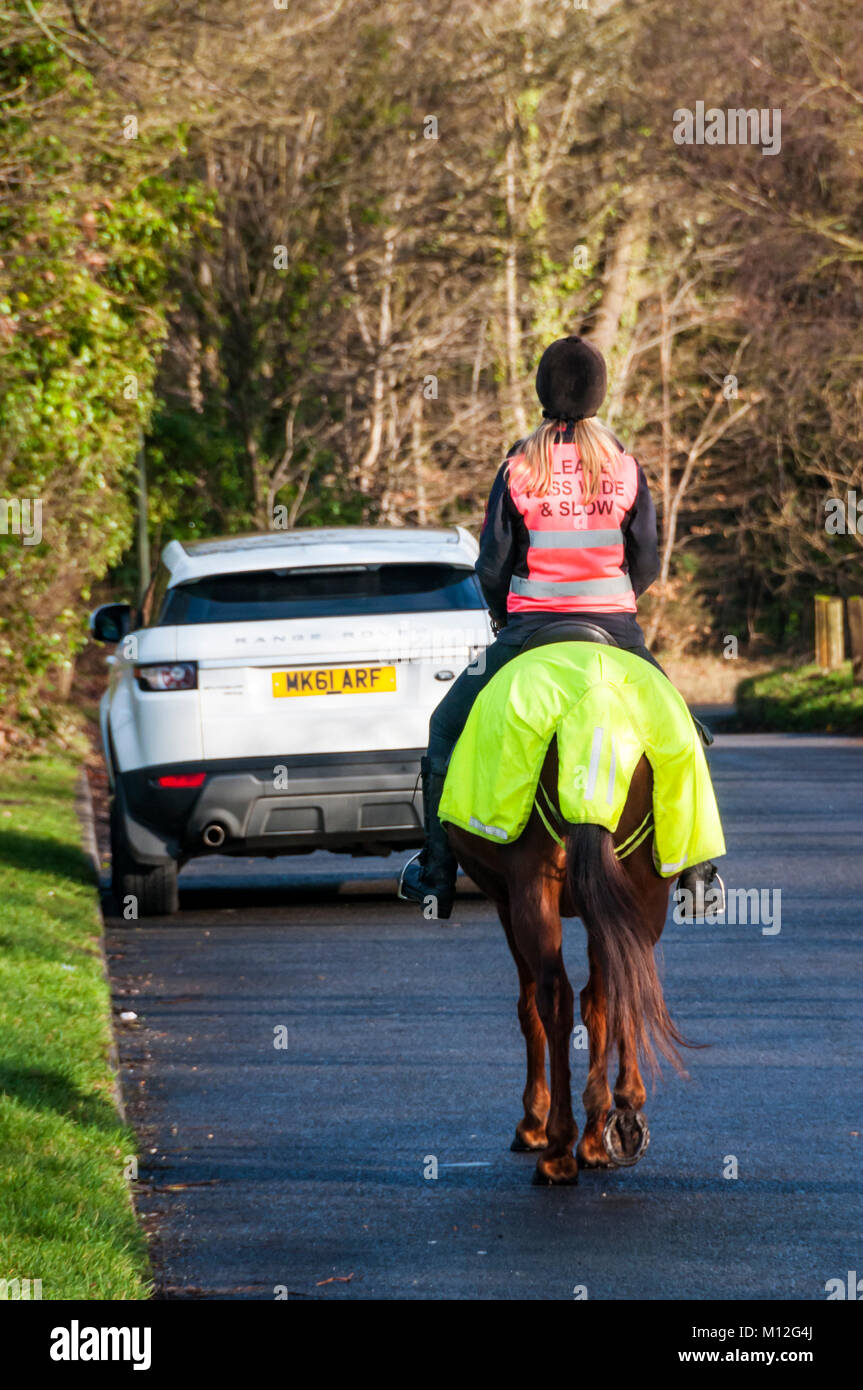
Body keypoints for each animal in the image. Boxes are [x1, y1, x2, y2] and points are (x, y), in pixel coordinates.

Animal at [444, 739, 686, 1184]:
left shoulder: (507, 900)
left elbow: (529, 1008)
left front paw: (532, 1124)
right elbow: (601, 1001)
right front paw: (599, 1131)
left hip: (531, 891)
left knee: (553, 995)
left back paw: (556, 1151)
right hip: (642, 892)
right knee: (619, 987)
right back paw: (612, 1124)